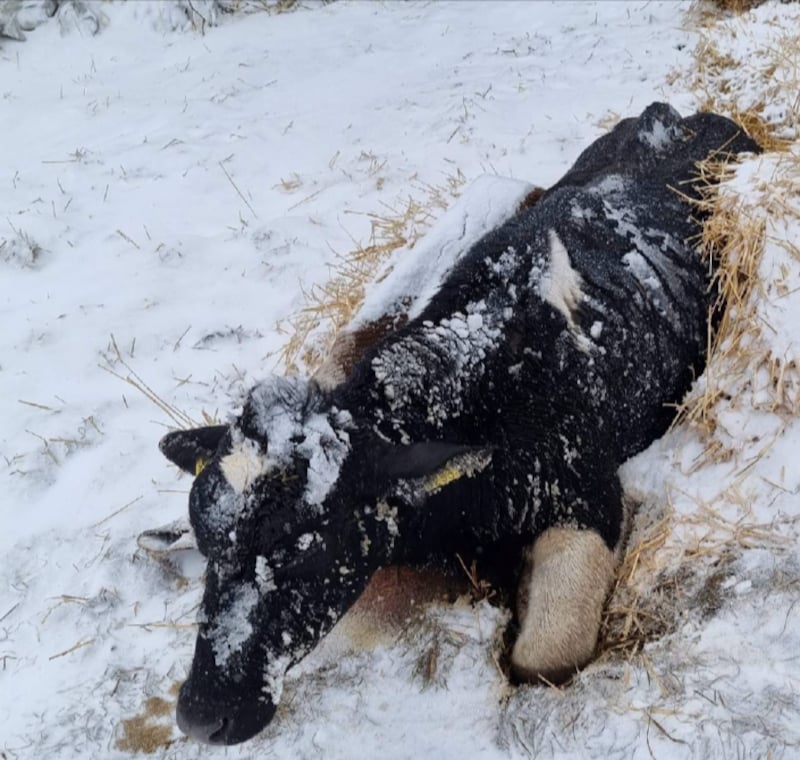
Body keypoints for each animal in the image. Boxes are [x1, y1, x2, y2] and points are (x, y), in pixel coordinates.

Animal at [158, 103, 758, 745]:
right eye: (210, 544)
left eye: (307, 550)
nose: (200, 715)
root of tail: (681, 115)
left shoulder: (591, 496)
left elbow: (543, 656)